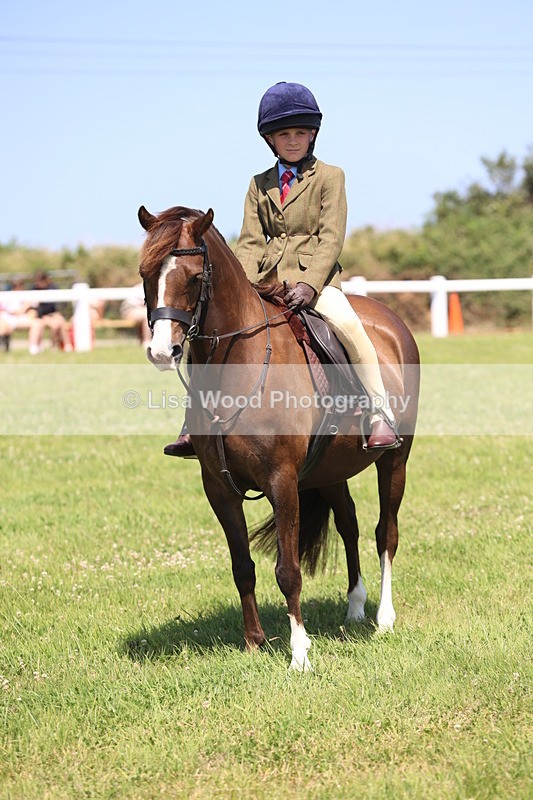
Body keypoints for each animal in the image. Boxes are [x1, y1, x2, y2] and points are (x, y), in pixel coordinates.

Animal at [138, 205, 420, 671]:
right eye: (146, 274)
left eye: (194, 277)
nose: (163, 352)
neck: (240, 363)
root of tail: (391, 320)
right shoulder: (219, 488)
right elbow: (242, 566)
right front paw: (254, 642)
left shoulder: (282, 482)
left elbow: (288, 571)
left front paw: (300, 653)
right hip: (330, 471)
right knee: (349, 525)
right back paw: (355, 607)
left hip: (394, 461)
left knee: (386, 533)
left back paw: (384, 618)